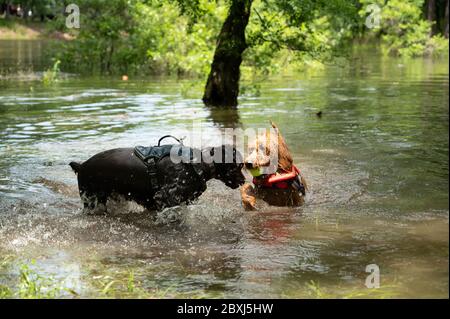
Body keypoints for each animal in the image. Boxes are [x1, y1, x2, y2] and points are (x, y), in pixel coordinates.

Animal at [70, 143, 244, 215]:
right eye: (238, 166)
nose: (243, 180)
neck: (197, 163)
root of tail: (81, 165)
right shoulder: (166, 197)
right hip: (90, 200)